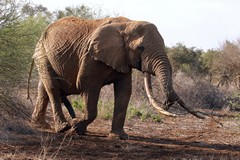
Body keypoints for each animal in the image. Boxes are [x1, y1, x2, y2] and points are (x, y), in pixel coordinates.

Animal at [29, 15, 203, 139]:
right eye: (141, 48)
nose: (167, 104)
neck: (128, 24)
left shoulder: (122, 58)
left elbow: (124, 92)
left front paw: (119, 137)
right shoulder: (90, 57)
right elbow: (87, 86)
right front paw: (75, 126)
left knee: (43, 88)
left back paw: (40, 125)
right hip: (42, 53)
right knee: (52, 88)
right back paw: (62, 127)